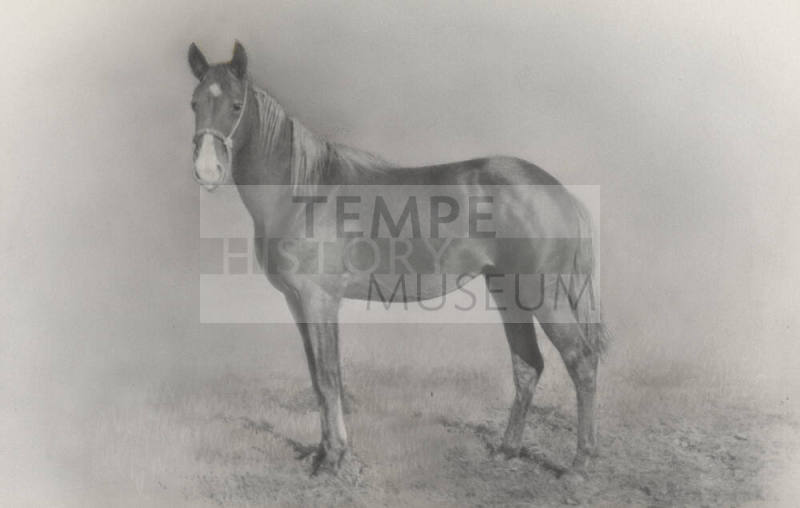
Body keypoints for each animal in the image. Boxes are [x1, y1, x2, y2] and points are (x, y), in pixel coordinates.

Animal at [187, 41, 610, 478]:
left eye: (236, 105)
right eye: (194, 103)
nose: (207, 170)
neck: (303, 193)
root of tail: (559, 192)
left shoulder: (320, 300)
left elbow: (329, 377)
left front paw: (338, 459)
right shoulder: (296, 302)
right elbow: (317, 379)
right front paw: (323, 455)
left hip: (544, 295)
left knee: (581, 361)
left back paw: (579, 463)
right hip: (509, 293)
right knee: (527, 365)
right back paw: (507, 451)